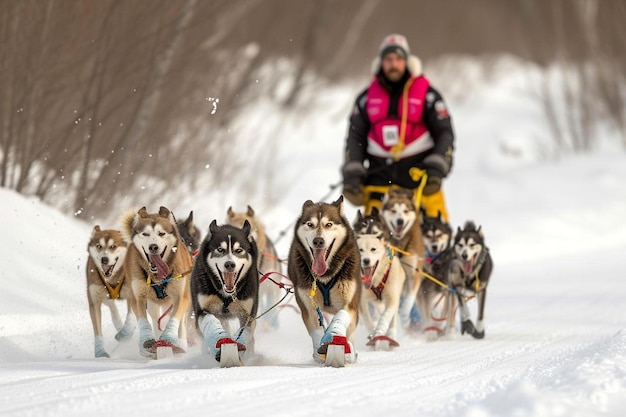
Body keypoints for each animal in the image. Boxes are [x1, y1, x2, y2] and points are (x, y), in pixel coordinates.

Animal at [85, 226, 135, 356]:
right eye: (99, 246)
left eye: (113, 246)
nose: (104, 259)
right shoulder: (94, 301)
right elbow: (97, 331)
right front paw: (100, 352)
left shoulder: (134, 294)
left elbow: (131, 316)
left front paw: (125, 333)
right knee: (112, 307)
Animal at [120, 206, 193, 356]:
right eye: (145, 234)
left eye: (161, 233)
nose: (153, 247)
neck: (157, 277)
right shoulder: (138, 297)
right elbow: (143, 320)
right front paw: (147, 340)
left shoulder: (181, 296)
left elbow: (175, 318)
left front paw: (168, 337)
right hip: (152, 304)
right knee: (155, 320)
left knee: (181, 322)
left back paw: (181, 344)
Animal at [190, 219, 258, 366]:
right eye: (220, 249)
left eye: (239, 250)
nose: (229, 264)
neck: (226, 294)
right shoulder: (201, 311)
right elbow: (211, 323)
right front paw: (220, 338)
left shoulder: (247, 315)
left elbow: (245, 332)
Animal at [288, 195, 360, 364]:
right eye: (310, 224)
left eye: (329, 224)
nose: (318, 241)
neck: (326, 275)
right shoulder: (307, 305)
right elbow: (315, 328)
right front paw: (319, 350)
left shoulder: (350, 303)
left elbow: (341, 317)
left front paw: (334, 334)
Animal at [378, 187, 422, 326]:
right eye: (393, 210)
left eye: (405, 211)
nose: (400, 221)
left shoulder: (414, 274)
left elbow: (410, 298)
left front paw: (404, 314)